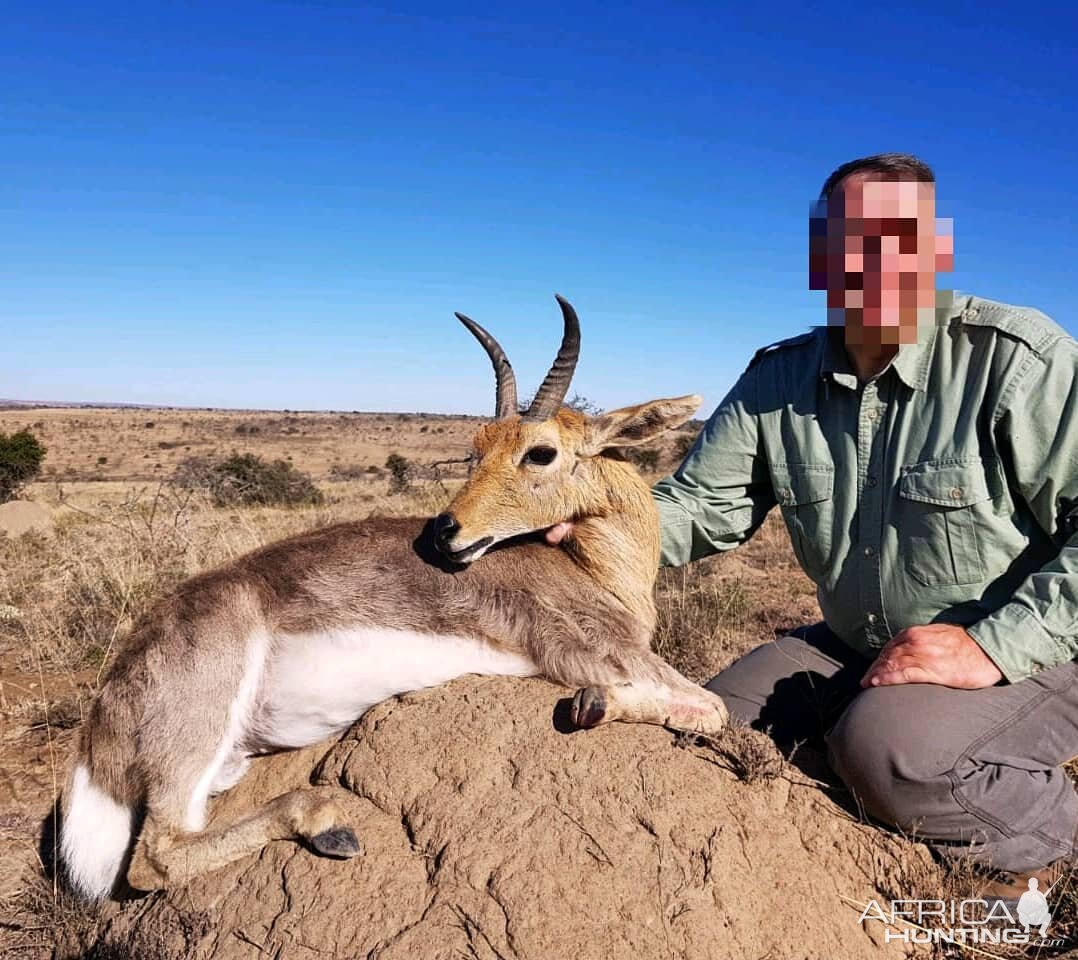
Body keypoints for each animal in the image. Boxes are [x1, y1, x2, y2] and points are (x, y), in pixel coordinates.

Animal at [61, 299, 733, 900]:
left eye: (539, 451)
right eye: (476, 447)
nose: (445, 531)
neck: (594, 570)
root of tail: (103, 717)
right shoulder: (591, 655)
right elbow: (711, 707)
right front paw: (595, 705)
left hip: (227, 761)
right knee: (156, 858)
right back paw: (328, 824)